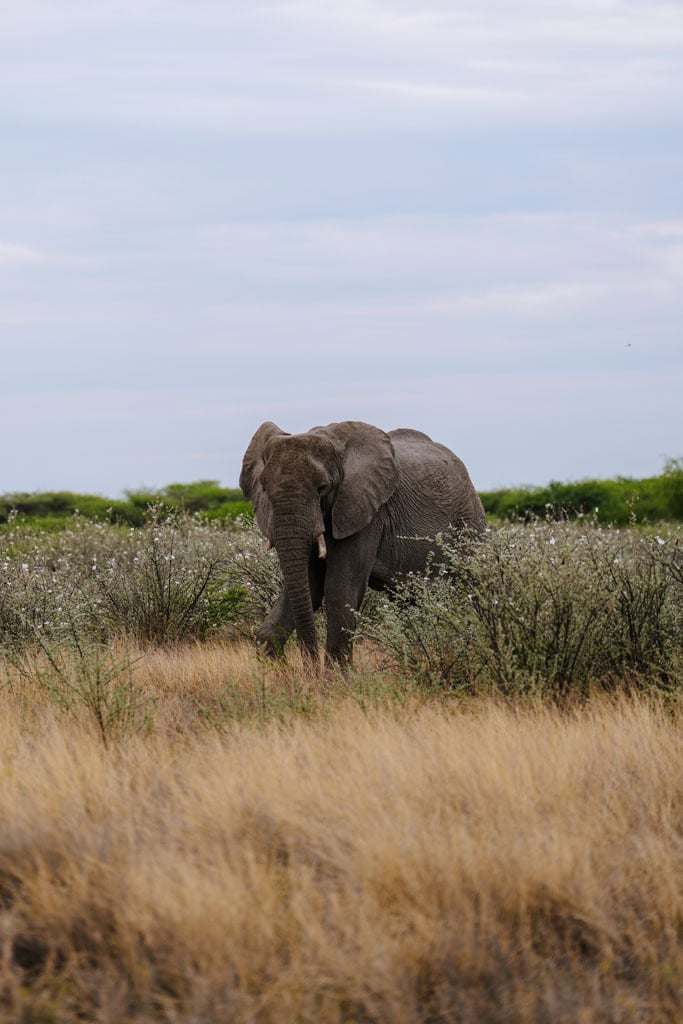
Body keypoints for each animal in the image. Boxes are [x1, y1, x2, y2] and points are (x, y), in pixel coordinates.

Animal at [240, 419, 485, 667]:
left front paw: (336, 676)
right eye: (264, 488)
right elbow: (308, 585)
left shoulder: (367, 512)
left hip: (469, 522)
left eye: (322, 488)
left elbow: (339, 589)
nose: (311, 667)